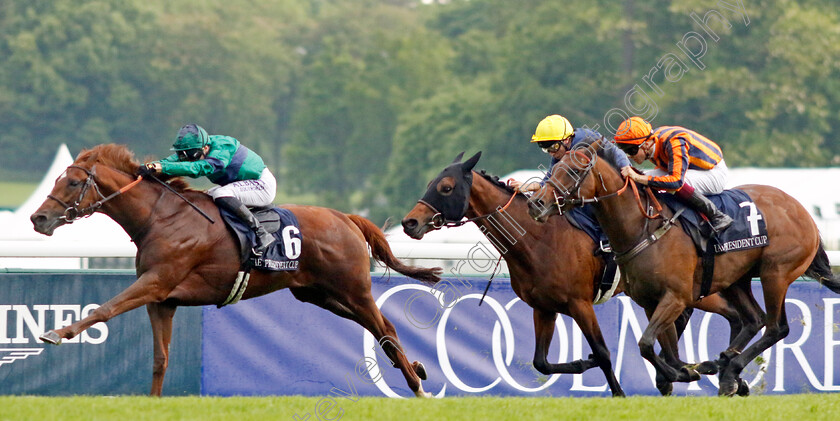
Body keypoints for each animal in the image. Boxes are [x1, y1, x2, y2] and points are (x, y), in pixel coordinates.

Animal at [29, 143, 442, 396]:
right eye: (59, 179)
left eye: (74, 182)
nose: (38, 218)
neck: (161, 217)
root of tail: (347, 218)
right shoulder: (163, 300)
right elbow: (160, 358)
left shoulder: (155, 282)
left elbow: (105, 308)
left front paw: (56, 333)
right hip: (320, 295)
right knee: (382, 329)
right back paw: (418, 370)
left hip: (353, 290)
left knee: (384, 328)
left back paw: (417, 385)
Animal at [398, 153, 756, 396]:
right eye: (430, 184)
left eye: (446, 187)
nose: (409, 222)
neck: (537, 238)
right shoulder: (543, 308)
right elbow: (541, 362)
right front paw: (584, 364)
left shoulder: (580, 303)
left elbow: (604, 352)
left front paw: (619, 391)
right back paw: (708, 372)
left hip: (697, 290)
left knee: (733, 315)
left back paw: (715, 371)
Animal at [528, 139, 840, 396]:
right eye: (555, 168)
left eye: (572, 171)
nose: (536, 203)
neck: (643, 228)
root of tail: (802, 211)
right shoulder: (650, 301)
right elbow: (661, 346)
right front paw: (683, 371)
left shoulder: (675, 297)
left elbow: (646, 343)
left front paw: (682, 373)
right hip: (736, 280)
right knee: (755, 319)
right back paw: (725, 366)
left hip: (775, 274)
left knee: (776, 328)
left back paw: (730, 369)